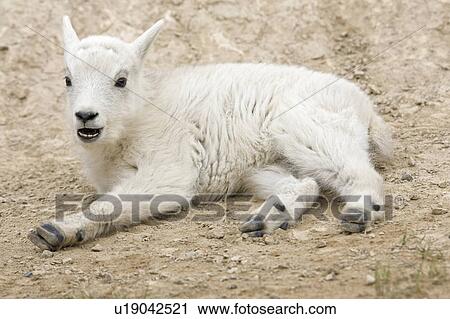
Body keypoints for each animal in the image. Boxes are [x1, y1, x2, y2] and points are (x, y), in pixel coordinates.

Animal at [29, 16, 394, 252]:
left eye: (121, 80)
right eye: (67, 79)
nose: (86, 117)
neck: (135, 118)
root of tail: (366, 108)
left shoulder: (170, 165)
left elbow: (120, 202)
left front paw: (59, 230)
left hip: (309, 131)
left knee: (360, 173)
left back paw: (360, 213)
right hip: (261, 167)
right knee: (306, 183)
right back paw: (269, 217)